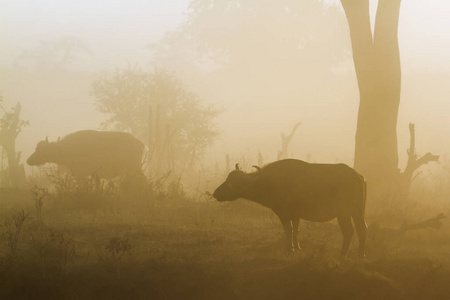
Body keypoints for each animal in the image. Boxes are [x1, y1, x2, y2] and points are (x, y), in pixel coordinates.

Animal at [214, 159, 366, 258]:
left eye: (233, 183)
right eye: (227, 179)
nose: (215, 193)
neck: (272, 182)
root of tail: (359, 176)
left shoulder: (284, 213)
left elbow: (288, 230)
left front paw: (290, 249)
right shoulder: (295, 214)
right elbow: (295, 230)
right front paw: (297, 248)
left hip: (343, 214)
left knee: (349, 231)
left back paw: (342, 254)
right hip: (358, 211)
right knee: (362, 229)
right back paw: (360, 254)